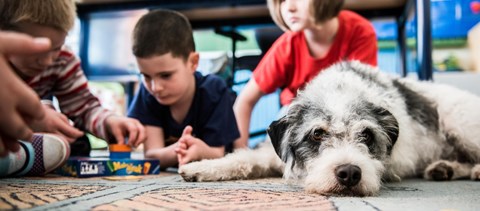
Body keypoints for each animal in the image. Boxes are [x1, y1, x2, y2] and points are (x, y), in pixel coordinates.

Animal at [179, 60, 480, 196]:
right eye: (317, 133)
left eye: (366, 135)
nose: (349, 173)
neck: (340, 88)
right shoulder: (277, 153)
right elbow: (244, 158)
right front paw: (200, 167)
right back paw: (445, 168)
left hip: (459, 122)